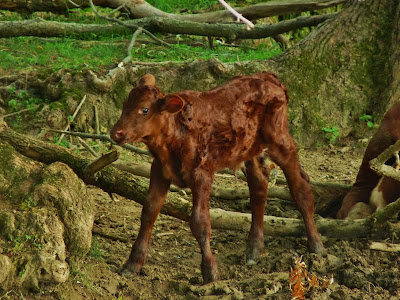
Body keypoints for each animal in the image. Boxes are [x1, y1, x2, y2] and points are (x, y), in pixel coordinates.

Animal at [109, 71, 324, 282]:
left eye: (145, 110)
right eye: (125, 105)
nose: (116, 133)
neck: (173, 137)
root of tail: (268, 76)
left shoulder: (202, 174)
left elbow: (200, 222)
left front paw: (210, 273)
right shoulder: (159, 170)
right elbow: (149, 211)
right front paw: (132, 264)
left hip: (279, 139)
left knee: (301, 187)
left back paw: (317, 246)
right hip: (250, 149)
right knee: (259, 186)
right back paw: (254, 249)